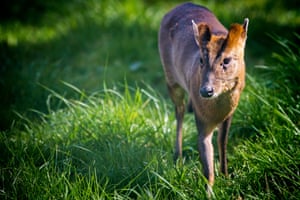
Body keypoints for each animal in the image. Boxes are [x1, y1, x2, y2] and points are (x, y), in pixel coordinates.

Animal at [159, 1, 248, 188]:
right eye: (201, 60)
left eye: (227, 60)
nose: (206, 90)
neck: (217, 111)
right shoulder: (201, 117)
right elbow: (206, 159)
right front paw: (209, 189)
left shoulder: (230, 113)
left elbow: (222, 142)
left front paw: (226, 176)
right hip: (171, 78)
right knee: (179, 110)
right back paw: (177, 157)